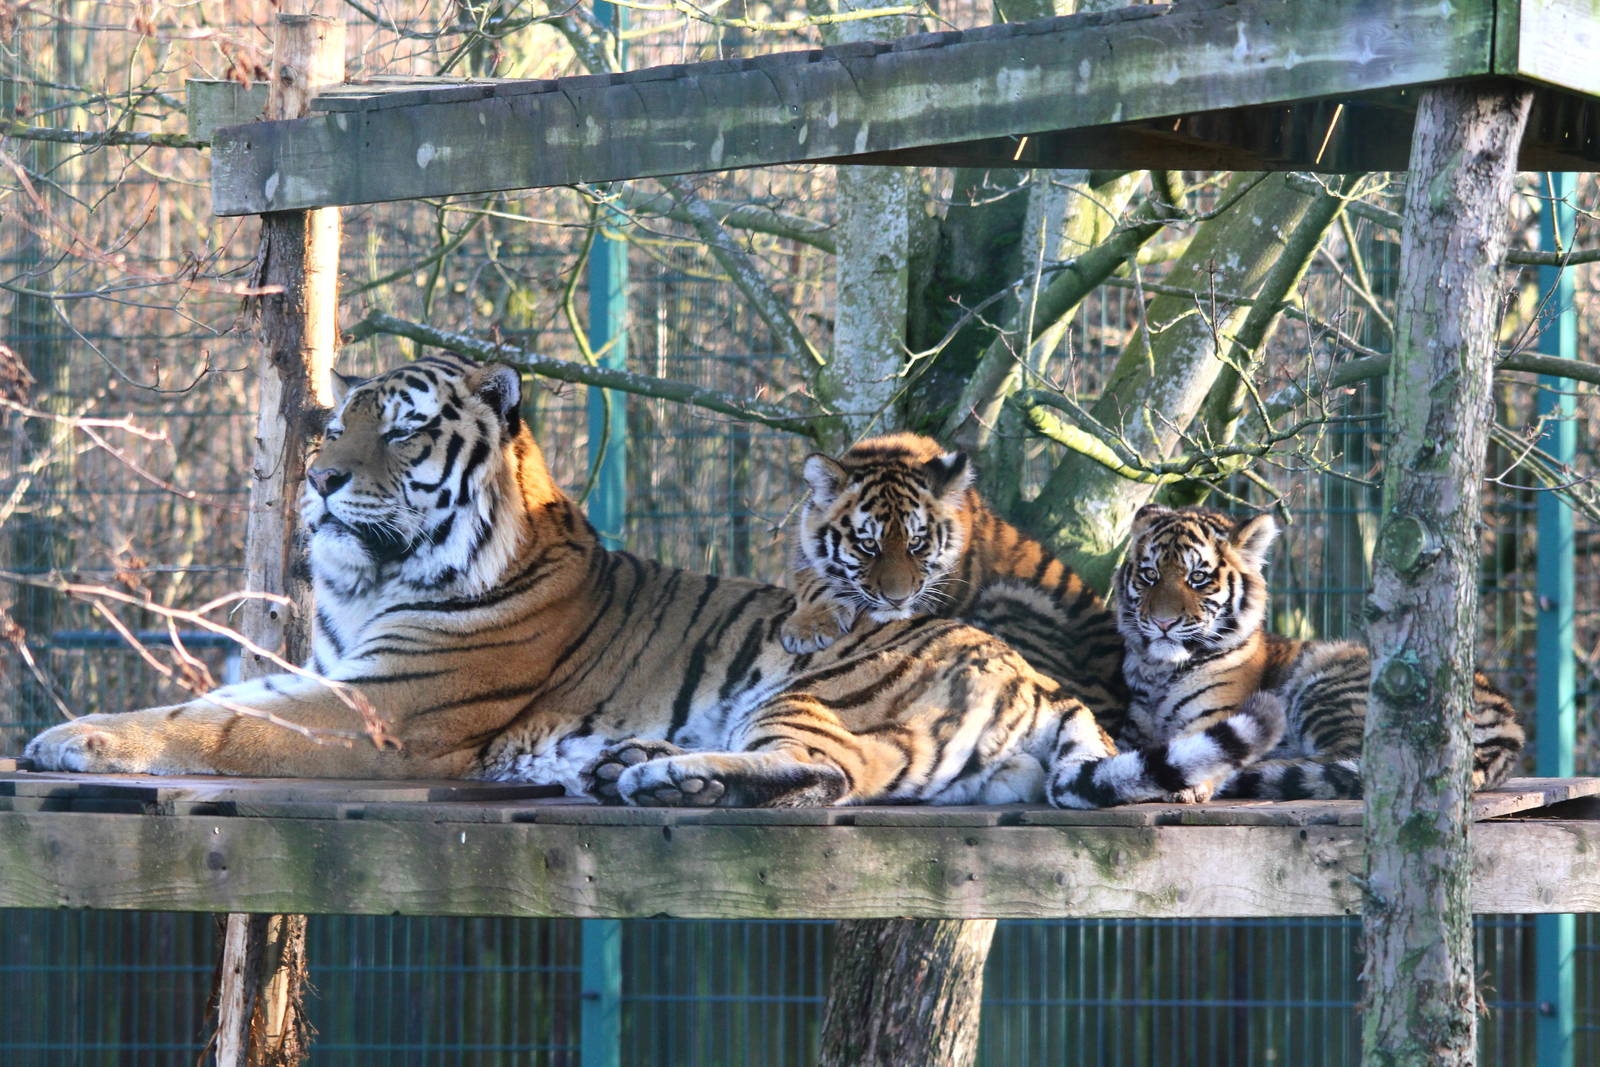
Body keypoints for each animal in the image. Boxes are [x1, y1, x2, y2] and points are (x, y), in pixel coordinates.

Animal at [781, 433, 1126, 723]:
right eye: (869, 545)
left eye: (916, 542)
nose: (897, 599)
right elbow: (815, 578)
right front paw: (808, 626)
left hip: (1009, 598)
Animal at [1114, 504, 1526, 800]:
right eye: (1150, 575)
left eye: (1197, 578)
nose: (1163, 622)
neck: (1158, 669)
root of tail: (1510, 726)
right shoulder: (1131, 728)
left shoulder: (1210, 716)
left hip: (1329, 686)